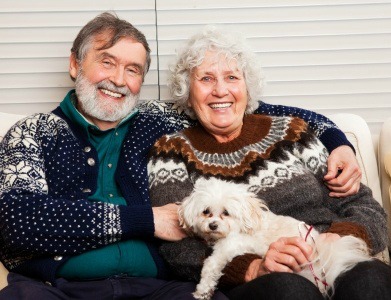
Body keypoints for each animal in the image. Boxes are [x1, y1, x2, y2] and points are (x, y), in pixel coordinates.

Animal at [179, 178, 372, 300]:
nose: (212, 225)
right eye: (206, 211)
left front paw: (203, 290)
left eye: (226, 213)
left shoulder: (232, 246)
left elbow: (211, 265)